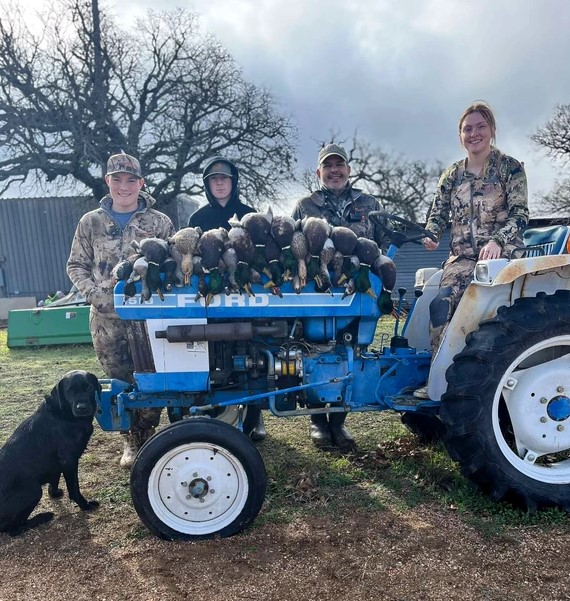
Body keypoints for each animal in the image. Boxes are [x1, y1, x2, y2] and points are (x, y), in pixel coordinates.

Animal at [0, 370, 101, 536]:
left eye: (88, 387)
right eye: (69, 391)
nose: (82, 408)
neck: (64, 414)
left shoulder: (58, 464)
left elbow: (55, 478)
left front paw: (54, 493)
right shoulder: (69, 460)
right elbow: (74, 487)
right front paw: (84, 505)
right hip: (33, 490)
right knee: (13, 530)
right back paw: (43, 517)